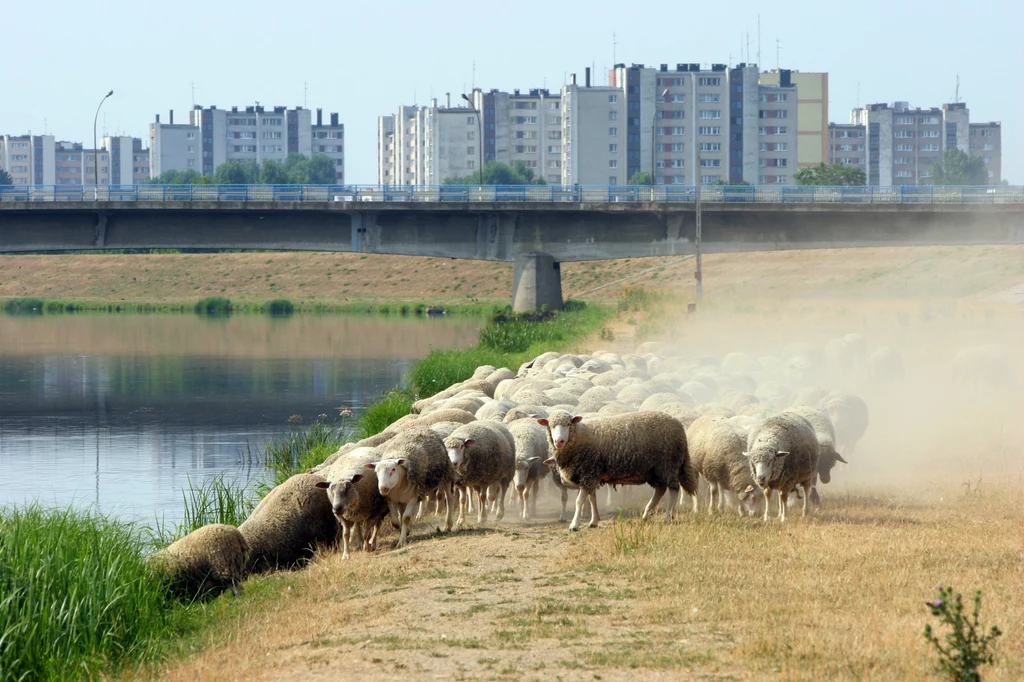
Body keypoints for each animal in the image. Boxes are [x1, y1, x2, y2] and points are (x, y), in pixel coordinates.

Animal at [536, 405, 696, 528]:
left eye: (568, 424)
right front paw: (594, 521)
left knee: (673, 490)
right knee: (660, 490)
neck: (581, 438)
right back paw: (646, 514)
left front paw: (574, 525)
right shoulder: (592, 475)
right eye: (551, 426)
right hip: (655, 469)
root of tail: (678, 425)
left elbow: (579, 501)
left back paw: (667, 517)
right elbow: (592, 498)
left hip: (668, 464)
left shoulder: (587, 472)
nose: (559, 441)